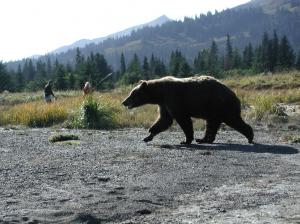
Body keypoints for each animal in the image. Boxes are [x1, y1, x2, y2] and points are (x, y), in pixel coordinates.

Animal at [122, 75, 253, 145]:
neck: (160, 94)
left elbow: (183, 120)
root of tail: (234, 94)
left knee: (233, 119)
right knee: (211, 124)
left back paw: (250, 136)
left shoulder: (174, 99)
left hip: (221, 105)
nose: (124, 102)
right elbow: (164, 119)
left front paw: (185, 140)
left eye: (132, 94)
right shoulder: (164, 104)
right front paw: (148, 135)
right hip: (213, 110)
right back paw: (204, 139)